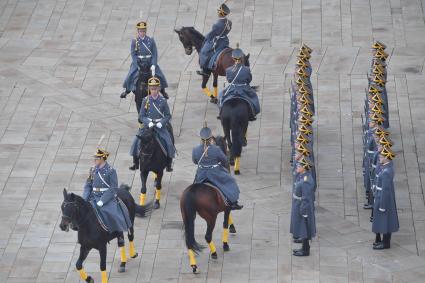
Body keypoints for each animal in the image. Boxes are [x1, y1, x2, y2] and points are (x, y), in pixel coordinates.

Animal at [179, 136, 237, 274]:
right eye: (225, 145)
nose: (229, 159)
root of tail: (192, 192)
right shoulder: (227, 207)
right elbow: (225, 223)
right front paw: (226, 243)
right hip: (210, 218)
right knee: (208, 236)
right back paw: (214, 253)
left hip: (187, 217)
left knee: (189, 240)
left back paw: (194, 265)